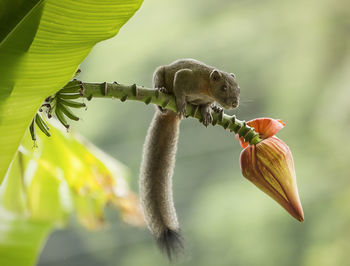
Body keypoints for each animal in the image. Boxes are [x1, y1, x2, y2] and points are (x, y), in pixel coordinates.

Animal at [139, 58, 241, 260]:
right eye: (224, 87)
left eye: (238, 88)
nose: (234, 103)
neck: (206, 87)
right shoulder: (185, 77)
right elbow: (179, 88)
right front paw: (181, 103)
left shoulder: (205, 97)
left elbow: (205, 105)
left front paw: (208, 111)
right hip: (160, 75)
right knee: (160, 93)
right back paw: (163, 93)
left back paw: (214, 109)